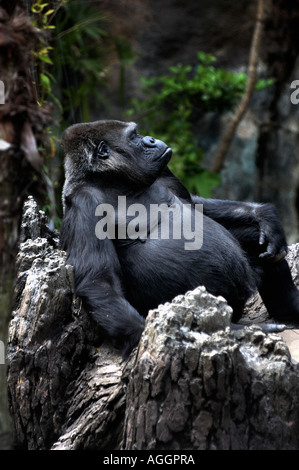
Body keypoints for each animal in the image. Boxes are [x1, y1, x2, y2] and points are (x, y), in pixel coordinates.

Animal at [59, 120, 299, 356]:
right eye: (134, 136)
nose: (151, 139)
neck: (114, 182)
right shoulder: (84, 204)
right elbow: (98, 279)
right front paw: (232, 331)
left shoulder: (163, 172)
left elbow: (194, 204)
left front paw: (262, 214)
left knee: (254, 239)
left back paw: (289, 306)